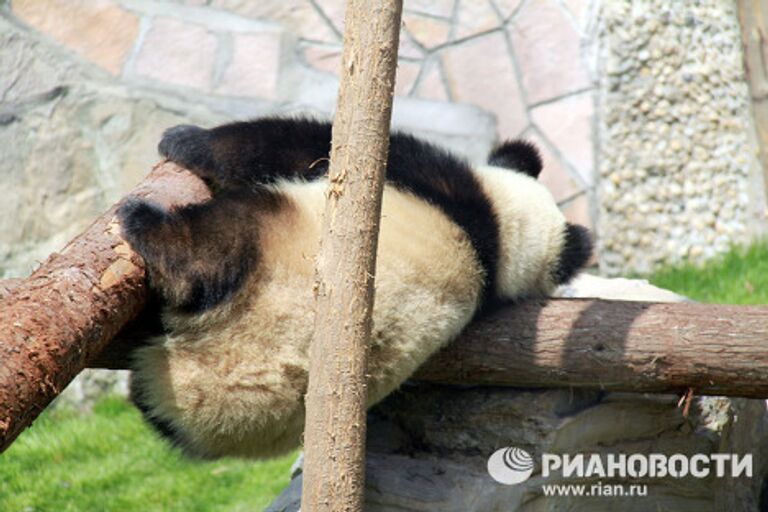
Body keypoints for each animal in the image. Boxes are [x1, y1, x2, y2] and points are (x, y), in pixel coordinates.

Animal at [115, 117, 592, 460]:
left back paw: (148, 226)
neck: (498, 239)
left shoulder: (426, 173)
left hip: (271, 250)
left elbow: (301, 145)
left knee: (218, 243)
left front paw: (183, 139)